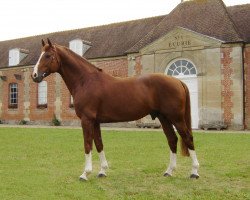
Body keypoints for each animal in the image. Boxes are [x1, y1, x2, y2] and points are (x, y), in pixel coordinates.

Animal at [31, 38, 199, 180]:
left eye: (47, 55)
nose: (34, 75)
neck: (86, 81)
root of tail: (177, 81)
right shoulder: (95, 121)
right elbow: (99, 143)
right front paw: (102, 171)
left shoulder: (87, 120)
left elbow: (87, 144)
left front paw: (85, 174)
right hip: (164, 118)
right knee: (172, 139)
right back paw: (169, 171)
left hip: (176, 118)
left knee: (187, 138)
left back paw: (194, 172)